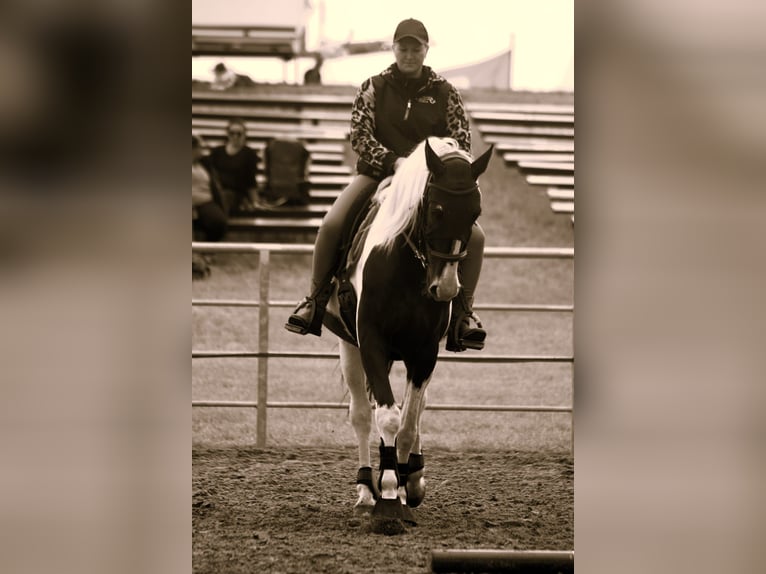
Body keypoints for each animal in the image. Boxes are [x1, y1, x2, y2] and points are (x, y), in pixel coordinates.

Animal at [323, 136, 493, 534]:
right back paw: (365, 491)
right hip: (349, 349)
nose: (445, 288)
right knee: (361, 415)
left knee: (415, 413)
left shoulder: (425, 351)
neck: (405, 267)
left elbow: (408, 423)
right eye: (437, 209)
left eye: (474, 213)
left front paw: (402, 491)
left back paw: (410, 479)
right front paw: (385, 498)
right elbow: (387, 418)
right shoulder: (370, 342)